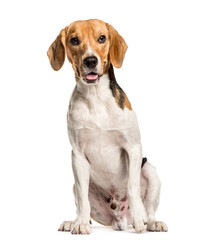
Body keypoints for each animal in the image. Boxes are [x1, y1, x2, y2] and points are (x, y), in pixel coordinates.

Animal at [47, 19, 168, 234]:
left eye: (102, 38)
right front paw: (80, 224)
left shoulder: (133, 148)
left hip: (151, 171)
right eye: (74, 40)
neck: (95, 97)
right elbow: (82, 198)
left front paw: (139, 218)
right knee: (82, 200)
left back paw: (152, 222)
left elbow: (132, 186)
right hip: (78, 185)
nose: (90, 61)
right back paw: (75, 221)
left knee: (150, 209)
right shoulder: (77, 155)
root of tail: (120, 218)